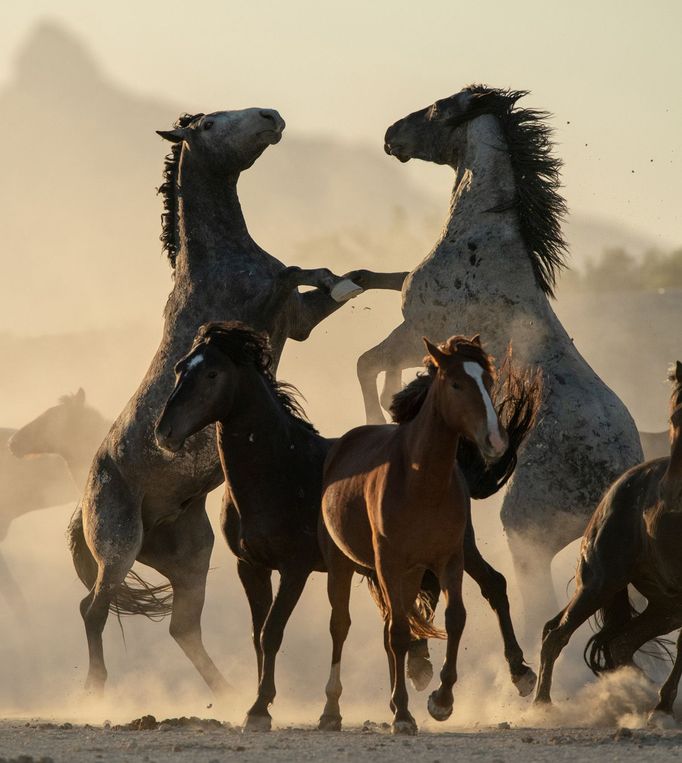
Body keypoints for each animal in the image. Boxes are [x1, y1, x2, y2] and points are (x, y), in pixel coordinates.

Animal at [69, 107, 406, 700]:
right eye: (207, 125)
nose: (272, 116)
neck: (219, 261)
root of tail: (82, 504)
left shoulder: (295, 322)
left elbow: (344, 282)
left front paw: (367, 277)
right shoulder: (261, 307)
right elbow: (294, 271)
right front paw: (329, 275)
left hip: (189, 555)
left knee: (182, 626)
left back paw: (228, 693)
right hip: (119, 543)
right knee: (93, 609)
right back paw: (96, 689)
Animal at [358, 85, 640, 620]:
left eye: (438, 109)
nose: (389, 135)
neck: (482, 238)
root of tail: (622, 475)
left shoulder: (418, 328)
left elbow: (368, 363)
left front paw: (379, 415)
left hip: (527, 532)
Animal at [532, 364, 680, 728]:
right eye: (674, 415)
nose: (669, 492)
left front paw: (661, 706)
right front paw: (661, 708)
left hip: (666, 605)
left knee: (622, 643)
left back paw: (637, 697)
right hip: (598, 583)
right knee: (555, 634)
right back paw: (542, 705)